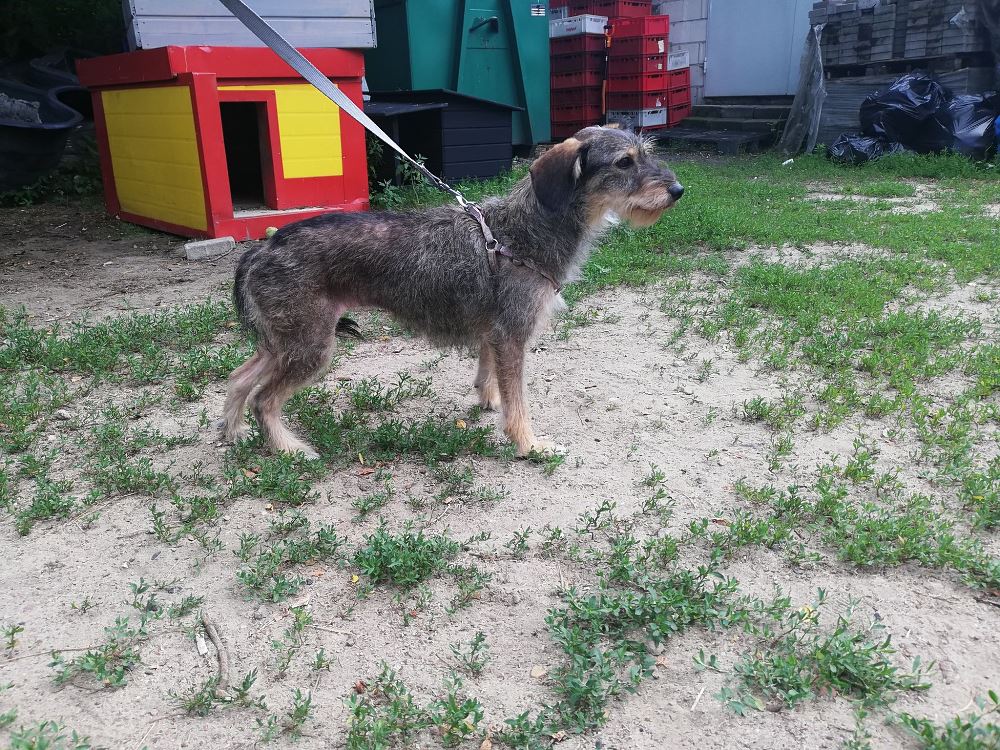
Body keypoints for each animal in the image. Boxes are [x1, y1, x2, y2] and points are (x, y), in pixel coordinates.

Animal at [220, 125, 684, 458]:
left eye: (645, 153)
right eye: (624, 162)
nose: (678, 191)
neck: (521, 230)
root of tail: (265, 247)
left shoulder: (494, 334)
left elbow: (488, 375)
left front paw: (488, 401)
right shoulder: (513, 336)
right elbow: (519, 403)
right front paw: (529, 445)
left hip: (284, 343)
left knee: (239, 378)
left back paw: (234, 430)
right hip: (311, 347)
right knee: (265, 399)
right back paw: (289, 449)